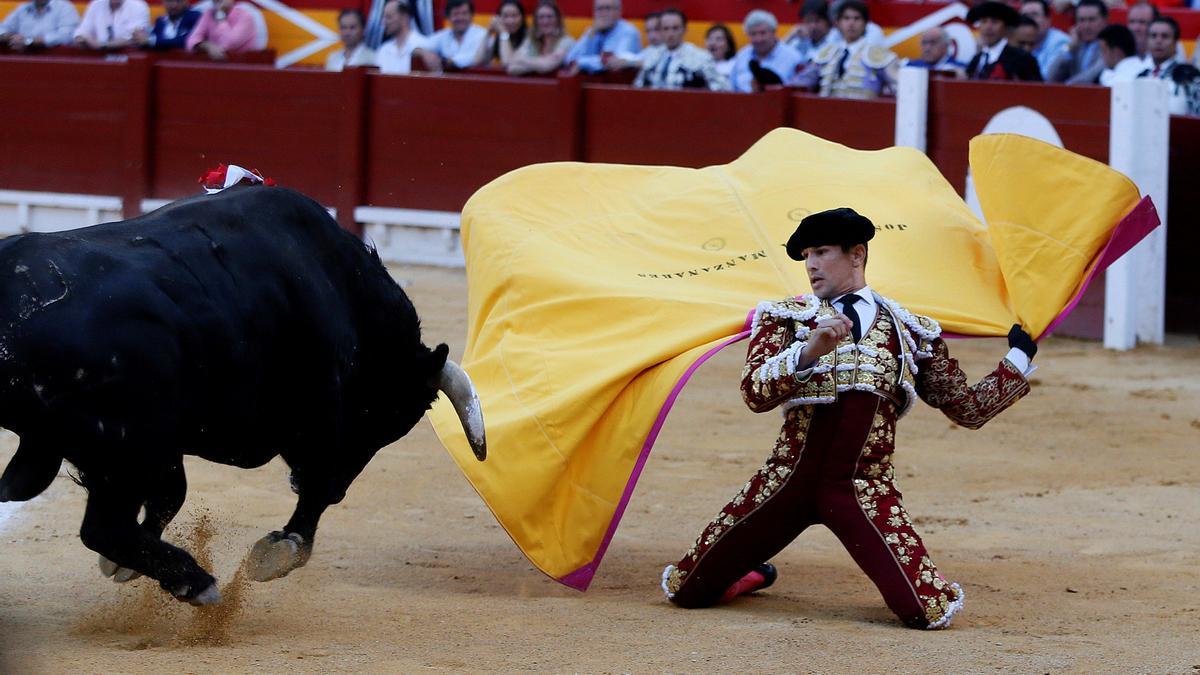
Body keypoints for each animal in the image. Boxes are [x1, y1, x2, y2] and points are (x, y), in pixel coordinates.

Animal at [0, 184, 482, 605]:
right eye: (383, 419)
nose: (344, 492)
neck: (341, 286)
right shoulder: (319, 417)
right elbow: (314, 488)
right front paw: (280, 550)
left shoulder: (162, 443)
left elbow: (171, 494)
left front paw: (126, 566)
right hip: (123, 448)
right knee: (103, 527)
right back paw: (196, 583)